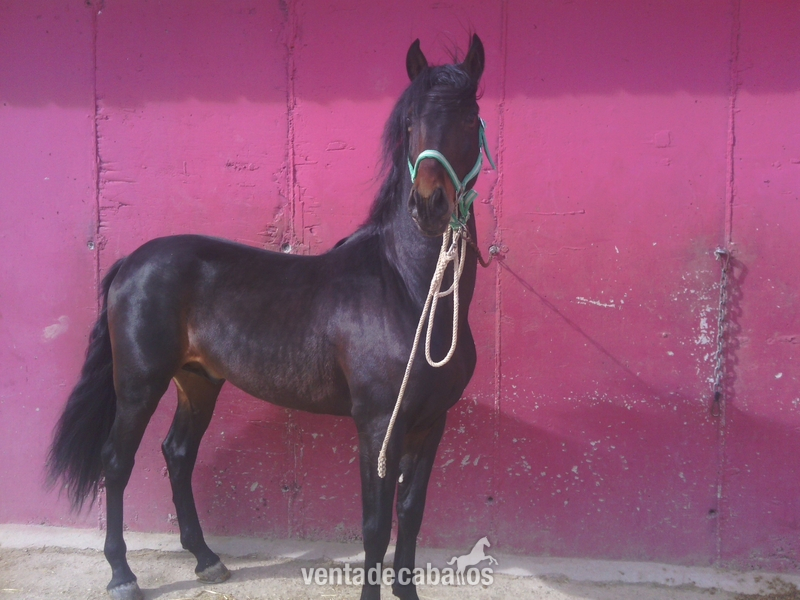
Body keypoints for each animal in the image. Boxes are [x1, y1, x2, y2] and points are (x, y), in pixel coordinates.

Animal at [47, 34, 490, 600]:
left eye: (469, 117)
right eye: (410, 122)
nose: (430, 205)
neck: (409, 292)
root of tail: (131, 261)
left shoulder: (431, 423)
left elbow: (410, 516)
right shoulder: (376, 426)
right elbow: (375, 525)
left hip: (199, 381)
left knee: (178, 453)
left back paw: (207, 559)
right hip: (139, 385)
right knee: (116, 462)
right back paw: (123, 575)